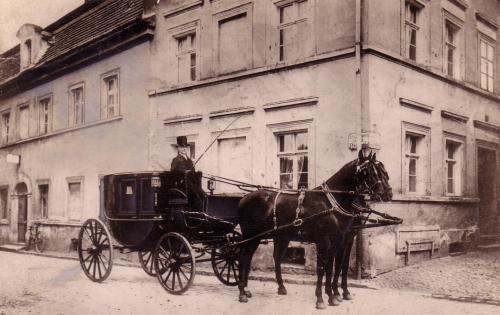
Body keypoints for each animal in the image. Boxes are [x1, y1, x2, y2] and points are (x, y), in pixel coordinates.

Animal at [236, 151, 392, 308]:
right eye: (368, 171)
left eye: (384, 172)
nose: (388, 194)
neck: (330, 203)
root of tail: (244, 198)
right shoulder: (324, 241)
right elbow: (322, 268)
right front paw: (321, 299)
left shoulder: (339, 241)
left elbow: (333, 267)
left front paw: (333, 296)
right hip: (251, 236)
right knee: (243, 258)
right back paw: (242, 292)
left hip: (277, 237)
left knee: (267, 258)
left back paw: (272, 288)